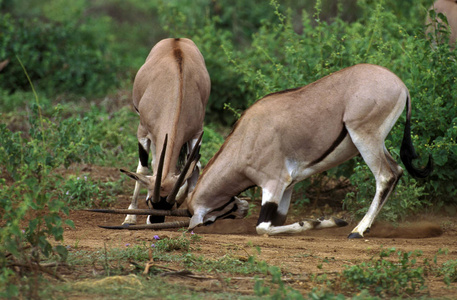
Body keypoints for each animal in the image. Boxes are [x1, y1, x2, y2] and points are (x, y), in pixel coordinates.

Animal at [121, 37, 210, 225]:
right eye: (149, 201)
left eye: (172, 204)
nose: (155, 222)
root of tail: (176, 39)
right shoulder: (142, 131)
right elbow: (142, 170)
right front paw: (130, 217)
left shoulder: (196, 133)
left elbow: (195, 167)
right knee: (153, 164)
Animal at [179, 64, 432, 238]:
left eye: (208, 221)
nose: (242, 209)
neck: (245, 140)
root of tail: (401, 86)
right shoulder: (288, 187)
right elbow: (276, 223)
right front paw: (326, 221)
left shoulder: (274, 183)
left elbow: (263, 228)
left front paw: (313, 223)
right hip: (378, 143)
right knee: (397, 170)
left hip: (365, 138)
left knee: (385, 176)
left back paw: (358, 230)